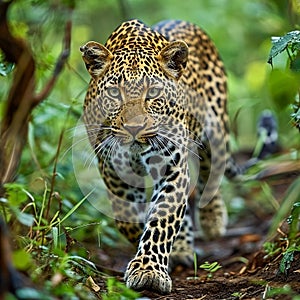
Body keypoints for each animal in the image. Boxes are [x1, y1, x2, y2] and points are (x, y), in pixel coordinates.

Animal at [81, 19, 243, 294]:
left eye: (153, 92)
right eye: (114, 93)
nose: (134, 128)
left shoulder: (172, 165)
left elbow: (162, 217)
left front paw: (148, 271)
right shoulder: (112, 168)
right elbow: (129, 217)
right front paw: (152, 248)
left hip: (216, 130)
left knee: (211, 169)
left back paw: (213, 220)